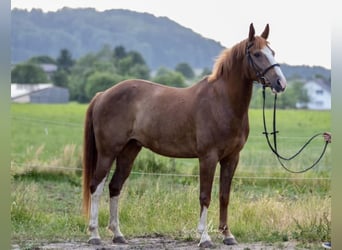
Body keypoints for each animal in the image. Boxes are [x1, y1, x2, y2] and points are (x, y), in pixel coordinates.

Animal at [82, 23, 286, 248]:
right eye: (257, 54)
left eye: (273, 52)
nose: (280, 83)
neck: (222, 102)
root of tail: (102, 95)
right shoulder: (208, 157)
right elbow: (205, 196)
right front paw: (204, 238)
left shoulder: (231, 158)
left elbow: (224, 196)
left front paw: (227, 235)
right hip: (108, 152)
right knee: (96, 186)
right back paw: (94, 235)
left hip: (129, 150)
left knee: (115, 186)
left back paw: (118, 234)